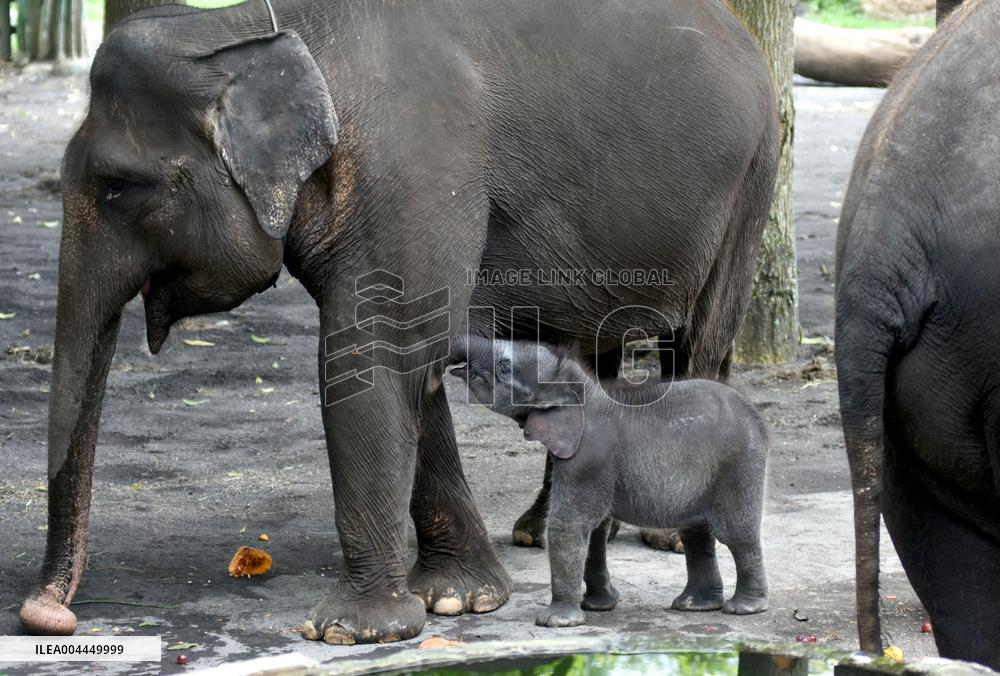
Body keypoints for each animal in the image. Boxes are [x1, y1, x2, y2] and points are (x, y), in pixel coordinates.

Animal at [450, 336, 769, 628]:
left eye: (504, 367)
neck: (583, 389)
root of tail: (757, 418)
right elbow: (596, 533)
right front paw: (598, 606)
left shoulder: (588, 460)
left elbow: (568, 525)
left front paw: (555, 621)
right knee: (696, 533)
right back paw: (694, 606)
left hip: (738, 467)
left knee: (736, 534)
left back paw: (744, 609)